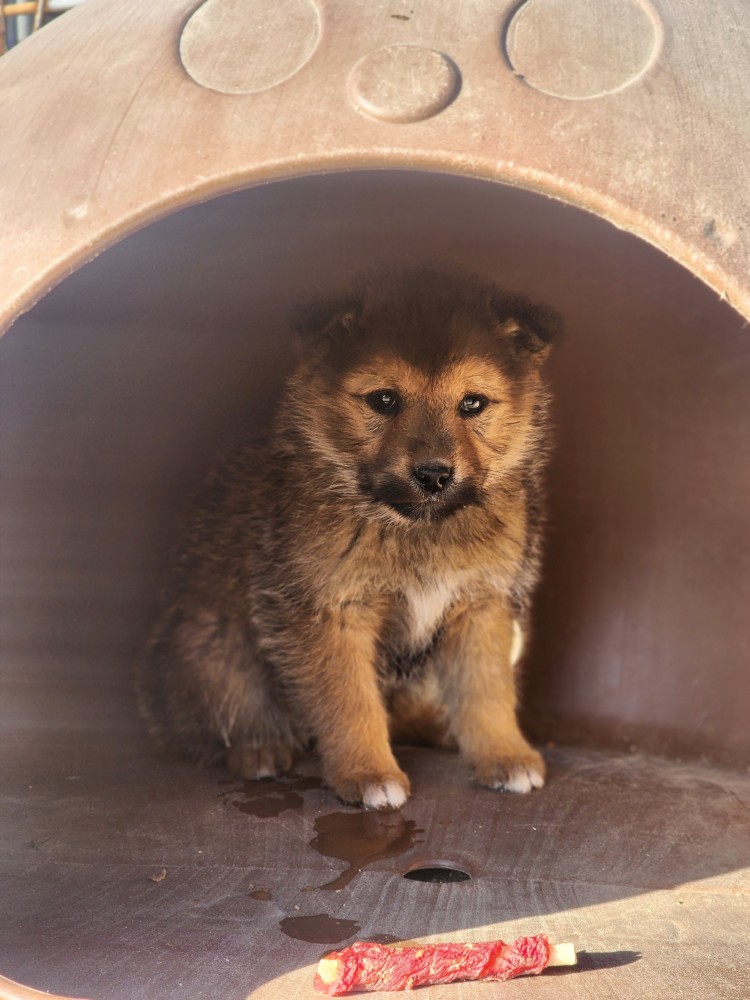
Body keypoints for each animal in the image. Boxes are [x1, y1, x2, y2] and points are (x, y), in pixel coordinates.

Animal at [138, 270, 560, 808]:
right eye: (383, 399)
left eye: (473, 403)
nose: (434, 475)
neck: (417, 530)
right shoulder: (330, 613)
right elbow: (351, 702)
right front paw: (367, 772)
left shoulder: (482, 605)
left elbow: (486, 692)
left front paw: (503, 754)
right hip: (212, 644)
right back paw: (258, 750)